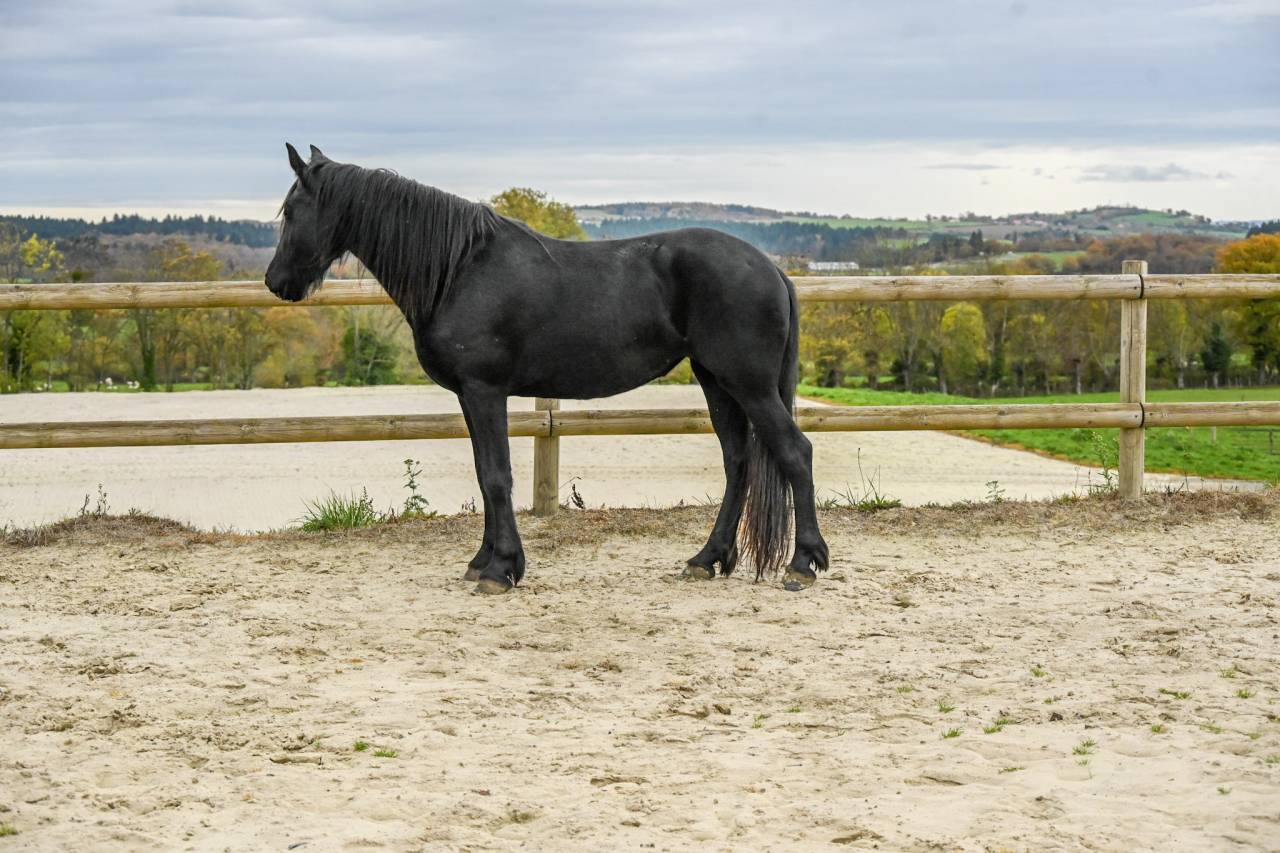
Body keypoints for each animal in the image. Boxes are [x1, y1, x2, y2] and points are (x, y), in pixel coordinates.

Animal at [265, 144, 828, 594]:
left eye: (292, 210)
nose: (276, 282)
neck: (460, 268)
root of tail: (771, 268)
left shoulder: (484, 391)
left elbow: (497, 476)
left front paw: (501, 570)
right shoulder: (471, 396)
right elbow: (484, 473)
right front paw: (482, 562)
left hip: (748, 384)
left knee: (795, 452)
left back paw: (802, 565)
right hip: (717, 381)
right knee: (738, 461)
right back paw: (707, 559)